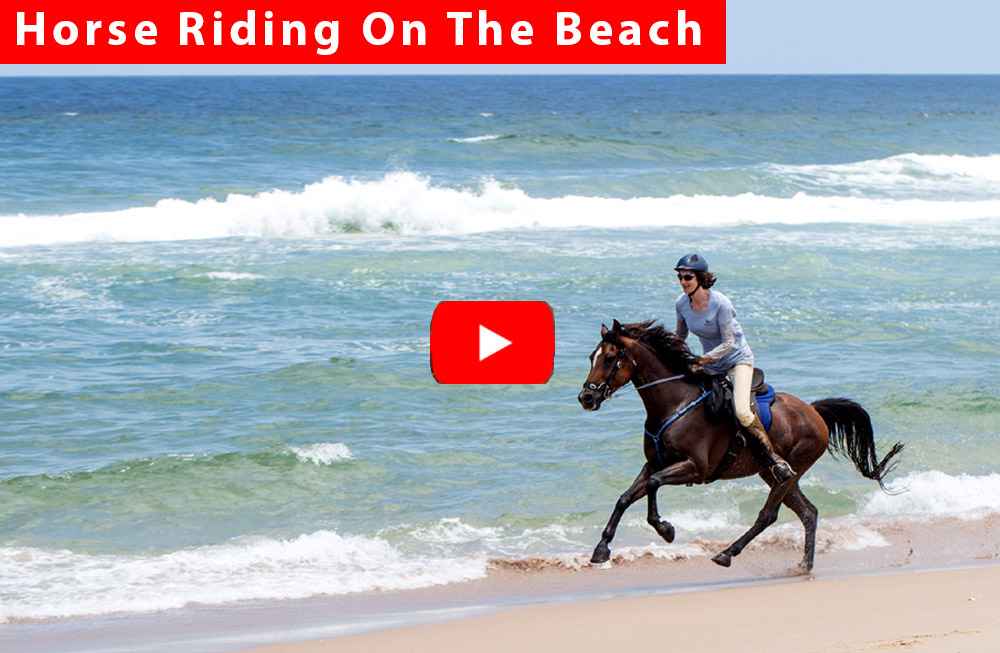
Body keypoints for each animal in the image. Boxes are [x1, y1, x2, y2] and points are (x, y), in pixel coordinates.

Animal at [576, 320, 904, 572]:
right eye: (592, 356)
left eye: (609, 358)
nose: (586, 398)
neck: (674, 404)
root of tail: (814, 411)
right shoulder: (655, 463)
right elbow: (625, 498)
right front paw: (601, 549)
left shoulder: (694, 468)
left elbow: (654, 486)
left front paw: (665, 529)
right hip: (770, 473)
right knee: (808, 512)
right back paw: (804, 566)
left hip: (790, 471)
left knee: (768, 515)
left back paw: (726, 553)